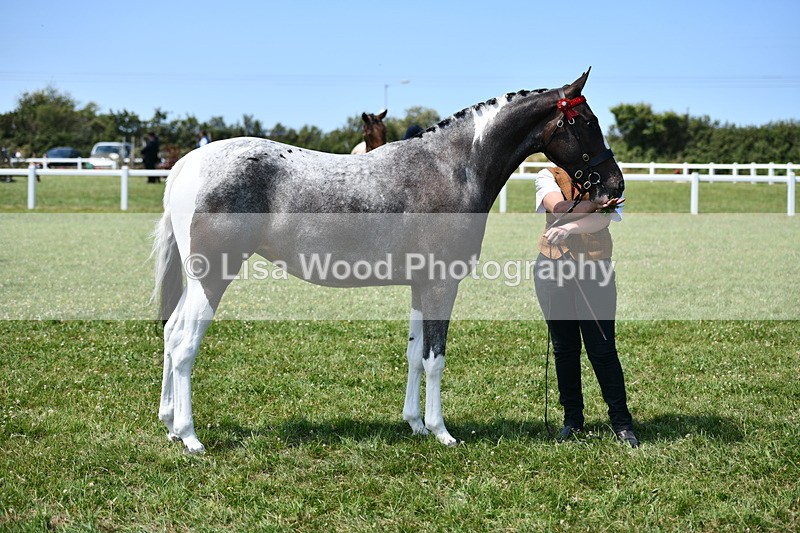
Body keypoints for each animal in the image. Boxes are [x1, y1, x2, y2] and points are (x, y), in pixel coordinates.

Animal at [152, 68, 624, 453]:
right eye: (587, 122)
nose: (614, 186)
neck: (453, 169)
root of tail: (187, 165)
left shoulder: (420, 285)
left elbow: (414, 354)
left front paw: (415, 424)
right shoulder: (441, 284)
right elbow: (435, 358)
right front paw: (441, 431)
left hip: (198, 281)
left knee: (171, 335)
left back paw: (171, 425)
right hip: (212, 279)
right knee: (185, 345)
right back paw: (191, 437)